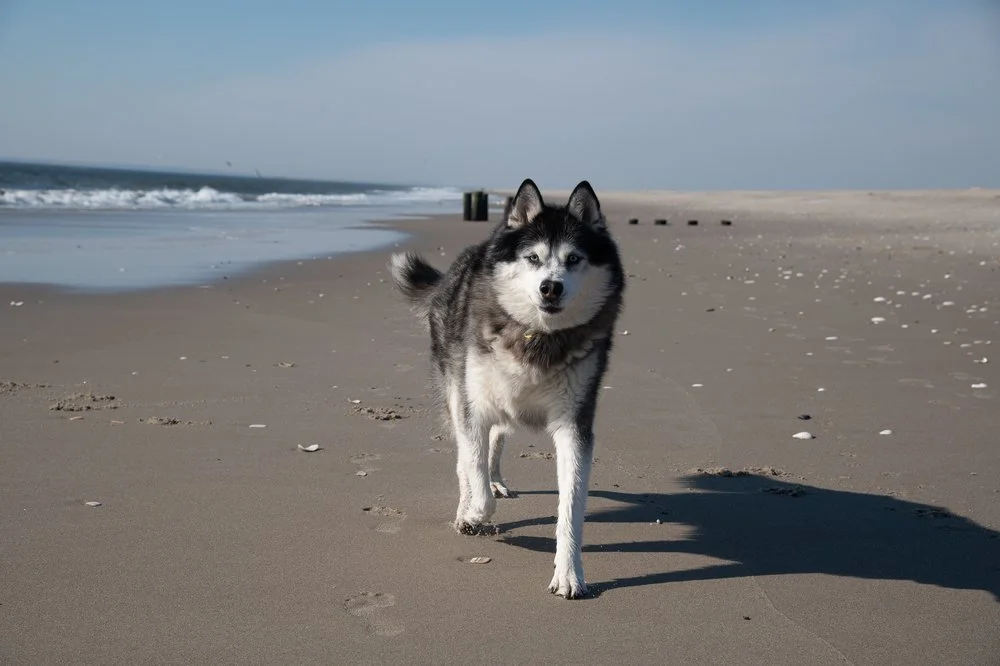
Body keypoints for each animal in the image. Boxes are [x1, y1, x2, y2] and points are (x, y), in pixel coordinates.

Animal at [389, 179, 625, 598]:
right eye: (532, 258)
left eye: (574, 258)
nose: (551, 288)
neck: (536, 336)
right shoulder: (473, 406)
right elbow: (474, 472)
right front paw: (473, 514)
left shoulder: (574, 424)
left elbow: (571, 505)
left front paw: (570, 573)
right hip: (457, 384)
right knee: (466, 457)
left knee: (498, 438)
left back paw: (497, 478)